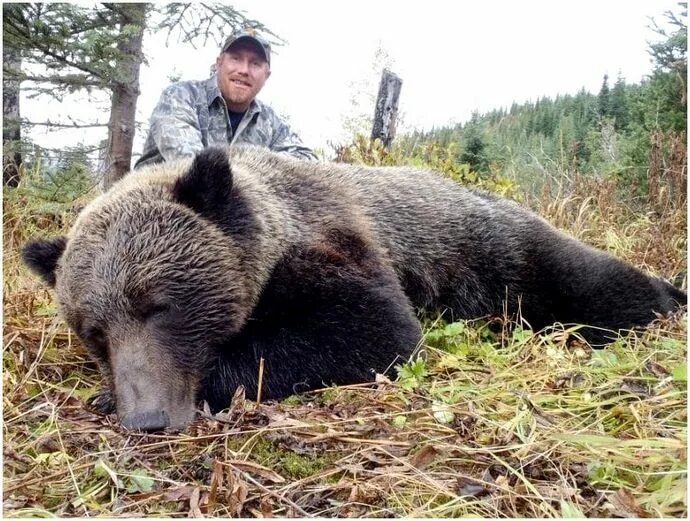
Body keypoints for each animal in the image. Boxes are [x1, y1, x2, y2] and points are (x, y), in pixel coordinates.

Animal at [21, 145, 684, 430]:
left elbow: (372, 329)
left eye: (158, 305)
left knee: (587, 280)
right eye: (94, 333)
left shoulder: (332, 245)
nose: (148, 418)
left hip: (493, 248)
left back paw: (665, 296)